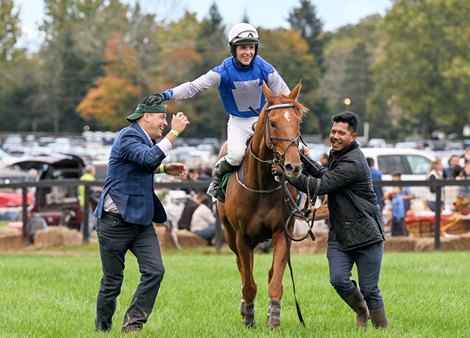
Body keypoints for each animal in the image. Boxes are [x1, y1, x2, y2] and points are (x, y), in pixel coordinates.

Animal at [218, 80, 308, 328]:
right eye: (273, 123)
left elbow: (275, 280)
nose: (293, 166)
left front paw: (273, 319)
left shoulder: (282, 232)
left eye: (298, 122)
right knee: (241, 267)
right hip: (229, 233)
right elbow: (248, 284)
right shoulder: (242, 236)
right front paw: (249, 318)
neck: (260, 184)